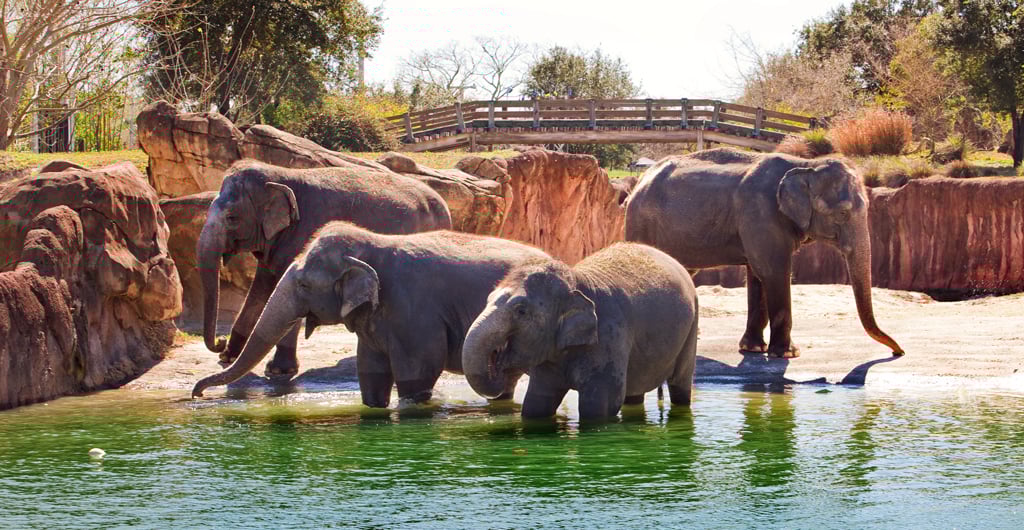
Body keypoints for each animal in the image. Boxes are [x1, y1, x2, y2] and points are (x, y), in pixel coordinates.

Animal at [191, 221, 551, 405]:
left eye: (304, 284)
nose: (197, 393)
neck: (373, 242)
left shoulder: (414, 311)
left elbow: (419, 370)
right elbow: (371, 372)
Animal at [198, 161, 452, 379]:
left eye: (232, 217)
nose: (219, 341)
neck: (280, 174)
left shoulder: (304, 234)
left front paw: (278, 370)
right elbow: (260, 290)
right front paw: (228, 357)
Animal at [461, 242, 699, 420]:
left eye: (521, 311)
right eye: (488, 299)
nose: (498, 360)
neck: (577, 280)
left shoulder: (609, 337)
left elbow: (599, 407)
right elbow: (537, 402)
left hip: (691, 329)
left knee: (680, 385)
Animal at [623, 147, 903, 358]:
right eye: (843, 213)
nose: (898, 352)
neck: (805, 165)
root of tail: (639, 181)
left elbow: (758, 275)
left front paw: (754, 349)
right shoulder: (761, 214)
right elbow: (774, 272)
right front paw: (788, 353)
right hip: (641, 222)